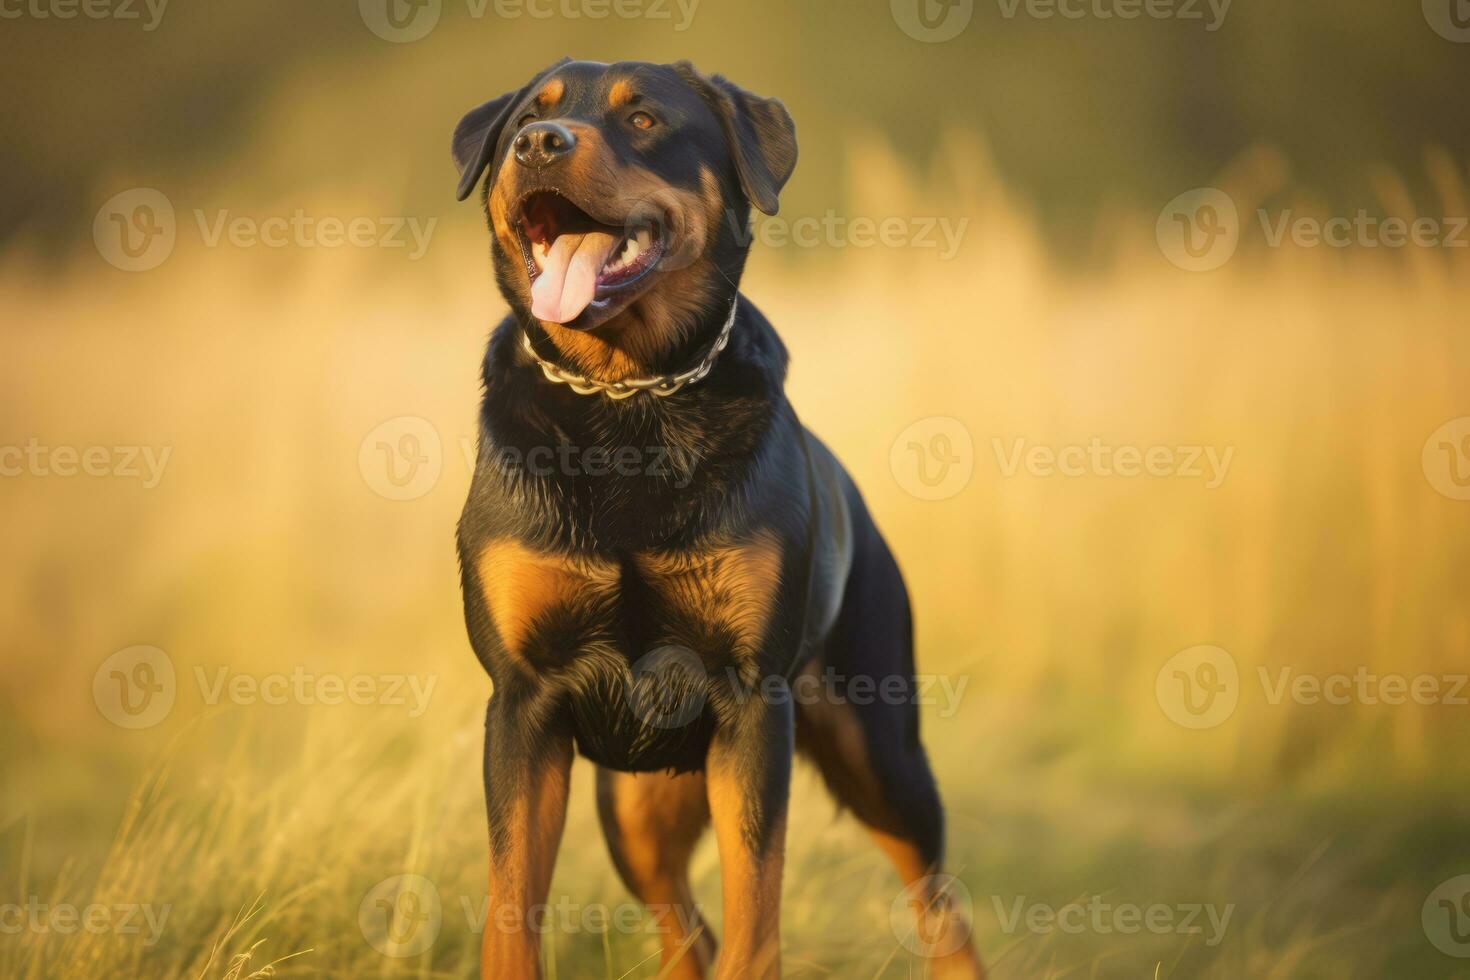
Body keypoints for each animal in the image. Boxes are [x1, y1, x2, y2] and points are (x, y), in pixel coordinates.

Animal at [446, 57, 976, 975]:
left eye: (645, 119)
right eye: (524, 120)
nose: (538, 144)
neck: (626, 395)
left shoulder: (750, 699)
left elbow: (755, 908)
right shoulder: (523, 701)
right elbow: (511, 908)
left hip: (882, 751)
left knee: (941, 905)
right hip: (634, 803)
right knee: (683, 925)